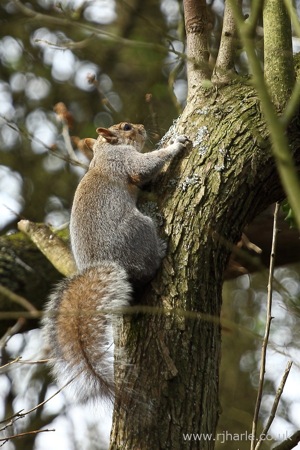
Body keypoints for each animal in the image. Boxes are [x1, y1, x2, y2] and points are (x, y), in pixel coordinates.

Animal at [42, 122, 189, 404]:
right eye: (127, 127)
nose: (142, 128)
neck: (103, 153)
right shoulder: (122, 161)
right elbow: (143, 167)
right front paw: (176, 144)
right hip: (139, 228)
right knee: (148, 266)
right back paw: (160, 251)